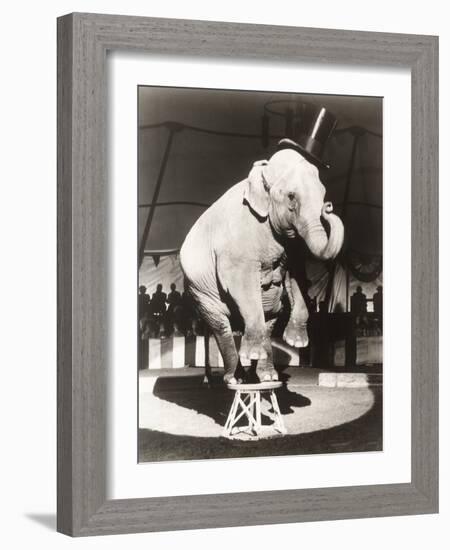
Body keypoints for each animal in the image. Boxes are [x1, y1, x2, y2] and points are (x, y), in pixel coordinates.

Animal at [179, 149, 344, 386]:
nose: (328, 207)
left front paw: (296, 343)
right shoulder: (236, 246)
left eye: (323, 195)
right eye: (291, 196)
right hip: (200, 293)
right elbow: (242, 283)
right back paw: (235, 379)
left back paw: (265, 377)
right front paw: (255, 355)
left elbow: (297, 274)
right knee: (221, 326)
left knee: (270, 317)